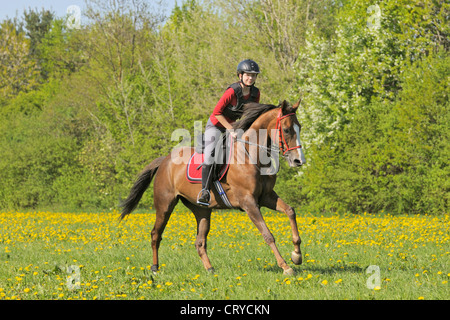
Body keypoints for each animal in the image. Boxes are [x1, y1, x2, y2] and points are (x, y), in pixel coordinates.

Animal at [120, 100, 306, 276]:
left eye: (300, 128)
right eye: (287, 130)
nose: (299, 161)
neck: (251, 155)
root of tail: (165, 161)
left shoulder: (266, 196)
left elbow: (290, 211)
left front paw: (296, 255)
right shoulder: (248, 202)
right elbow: (268, 235)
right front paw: (285, 267)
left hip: (201, 210)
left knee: (200, 242)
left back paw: (210, 269)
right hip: (165, 204)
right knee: (155, 234)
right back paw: (155, 268)